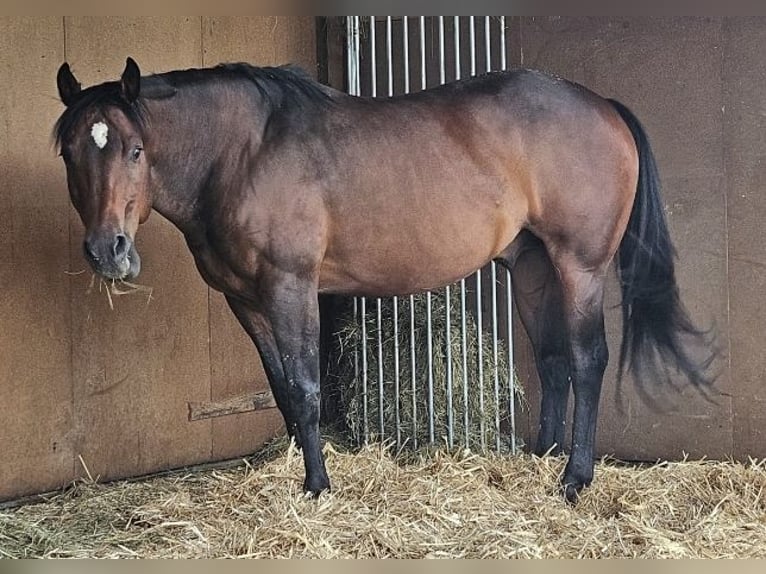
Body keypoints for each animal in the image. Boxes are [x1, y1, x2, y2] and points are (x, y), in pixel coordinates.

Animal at [54, 57, 713, 503]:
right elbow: (280, 387)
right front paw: (295, 468)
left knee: (586, 359)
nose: (108, 251)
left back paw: (574, 478)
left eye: (136, 150)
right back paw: (539, 460)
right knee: (553, 360)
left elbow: (304, 388)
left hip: (580, 266)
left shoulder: (292, 287)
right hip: (531, 265)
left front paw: (317, 485)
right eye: (69, 152)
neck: (242, 154)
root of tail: (603, 103)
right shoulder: (246, 300)